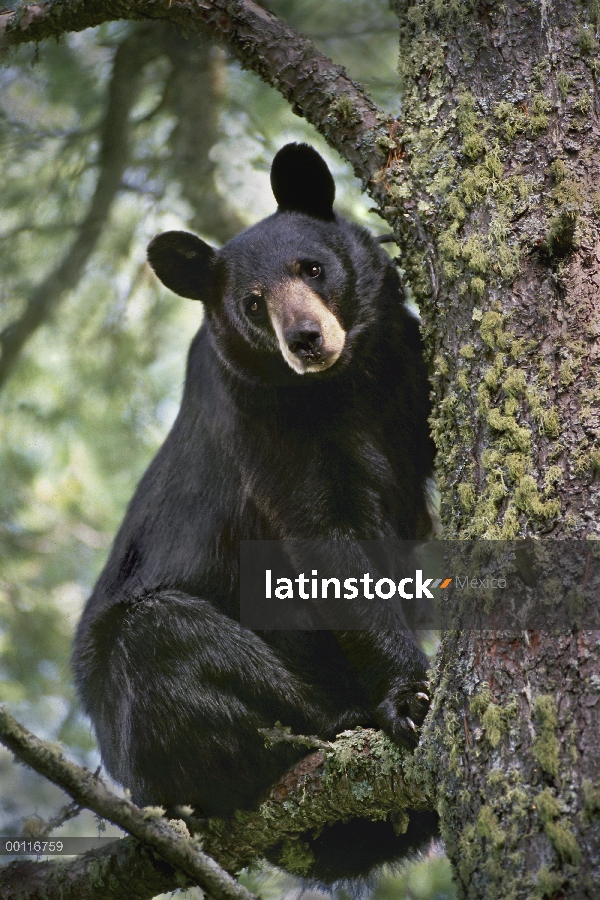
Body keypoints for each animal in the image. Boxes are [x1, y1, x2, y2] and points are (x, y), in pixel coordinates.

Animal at [72, 144, 438, 884]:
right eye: (252, 302)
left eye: (312, 267)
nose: (305, 338)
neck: (342, 387)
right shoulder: (265, 428)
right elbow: (328, 542)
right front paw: (407, 693)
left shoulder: (399, 372)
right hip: (134, 704)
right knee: (166, 644)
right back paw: (331, 721)